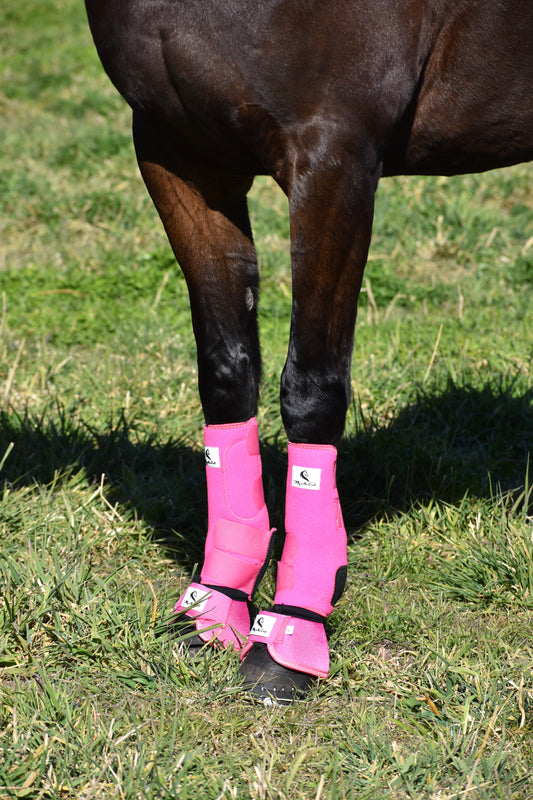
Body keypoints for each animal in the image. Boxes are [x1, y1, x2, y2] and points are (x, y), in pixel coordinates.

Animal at [85, 0, 533, 704]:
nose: (218, 603)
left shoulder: (333, 159)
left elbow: (311, 388)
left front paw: (290, 634)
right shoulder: (177, 150)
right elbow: (226, 369)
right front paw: (215, 609)